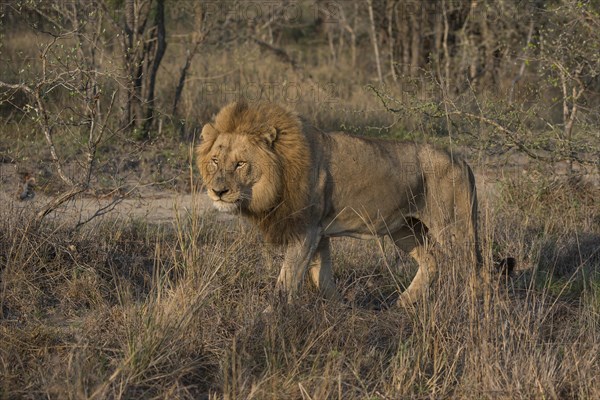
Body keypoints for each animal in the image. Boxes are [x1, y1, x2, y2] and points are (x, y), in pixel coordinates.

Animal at [199, 101, 486, 306]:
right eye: (215, 160)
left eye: (240, 163)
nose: (218, 191)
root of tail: (461, 160)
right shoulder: (319, 232)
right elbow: (321, 276)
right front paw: (338, 307)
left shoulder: (305, 230)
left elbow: (287, 278)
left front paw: (271, 315)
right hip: (404, 228)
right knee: (431, 261)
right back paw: (403, 303)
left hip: (454, 226)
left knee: (473, 268)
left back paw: (472, 309)